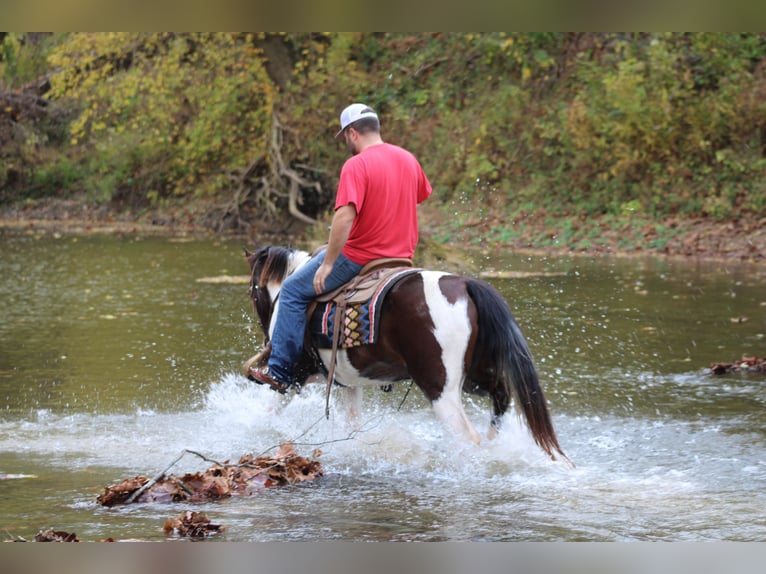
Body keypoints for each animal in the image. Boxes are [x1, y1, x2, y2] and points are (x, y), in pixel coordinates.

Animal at [244, 245, 568, 466]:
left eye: (252, 291)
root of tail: (466, 285)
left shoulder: (294, 377)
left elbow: (265, 413)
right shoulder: (350, 382)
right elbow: (353, 426)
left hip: (439, 388)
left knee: (466, 436)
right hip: (473, 378)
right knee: (500, 400)